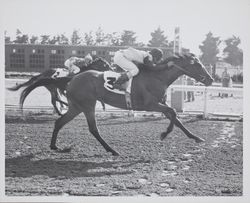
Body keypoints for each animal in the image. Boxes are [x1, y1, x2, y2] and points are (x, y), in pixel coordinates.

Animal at [21, 52, 214, 155]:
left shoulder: (159, 104)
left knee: (59, 122)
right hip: (87, 105)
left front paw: (196, 137)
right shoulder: (149, 104)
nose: (211, 79)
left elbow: (176, 119)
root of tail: (73, 78)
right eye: (198, 65)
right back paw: (112, 150)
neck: (156, 76)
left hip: (76, 107)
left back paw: (55, 146)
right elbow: (173, 112)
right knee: (93, 128)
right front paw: (164, 134)